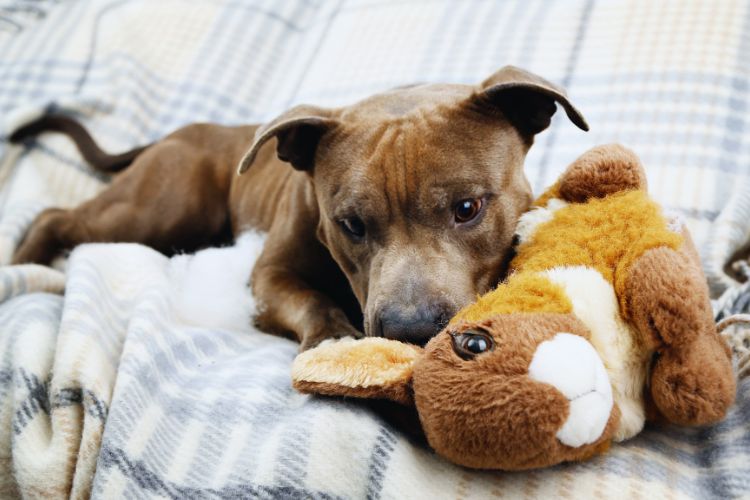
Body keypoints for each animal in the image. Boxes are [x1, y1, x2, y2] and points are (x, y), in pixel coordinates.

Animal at [8, 65, 592, 348]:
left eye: (468, 208)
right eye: (350, 224)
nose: (409, 329)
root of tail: (174, 134)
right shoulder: (269, 276)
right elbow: (309, 299)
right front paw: (332, 335)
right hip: (158, 210)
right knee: (56, 216)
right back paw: (23, 268)